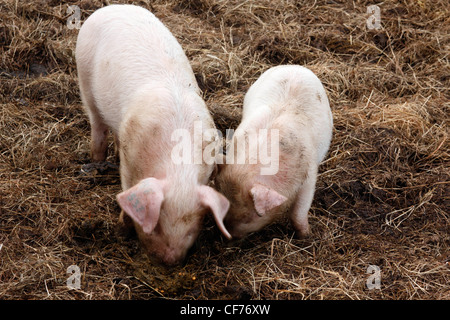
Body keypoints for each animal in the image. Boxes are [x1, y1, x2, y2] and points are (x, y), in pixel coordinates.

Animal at [76, 4, 229, 264]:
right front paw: (121, 231)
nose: (169, 261)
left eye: (192, 229)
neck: (177, 169)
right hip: (84, 76)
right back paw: (97, 162)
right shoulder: (130, 163)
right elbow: (127, 187)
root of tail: (113, 7)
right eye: (155, 225)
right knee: (97, 125)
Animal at [216, 65, 332, 238]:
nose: (227, 236)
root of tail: (294, 66)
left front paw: (306, 235)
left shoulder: (309, 176)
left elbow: (299, 211)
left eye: (248, 217)